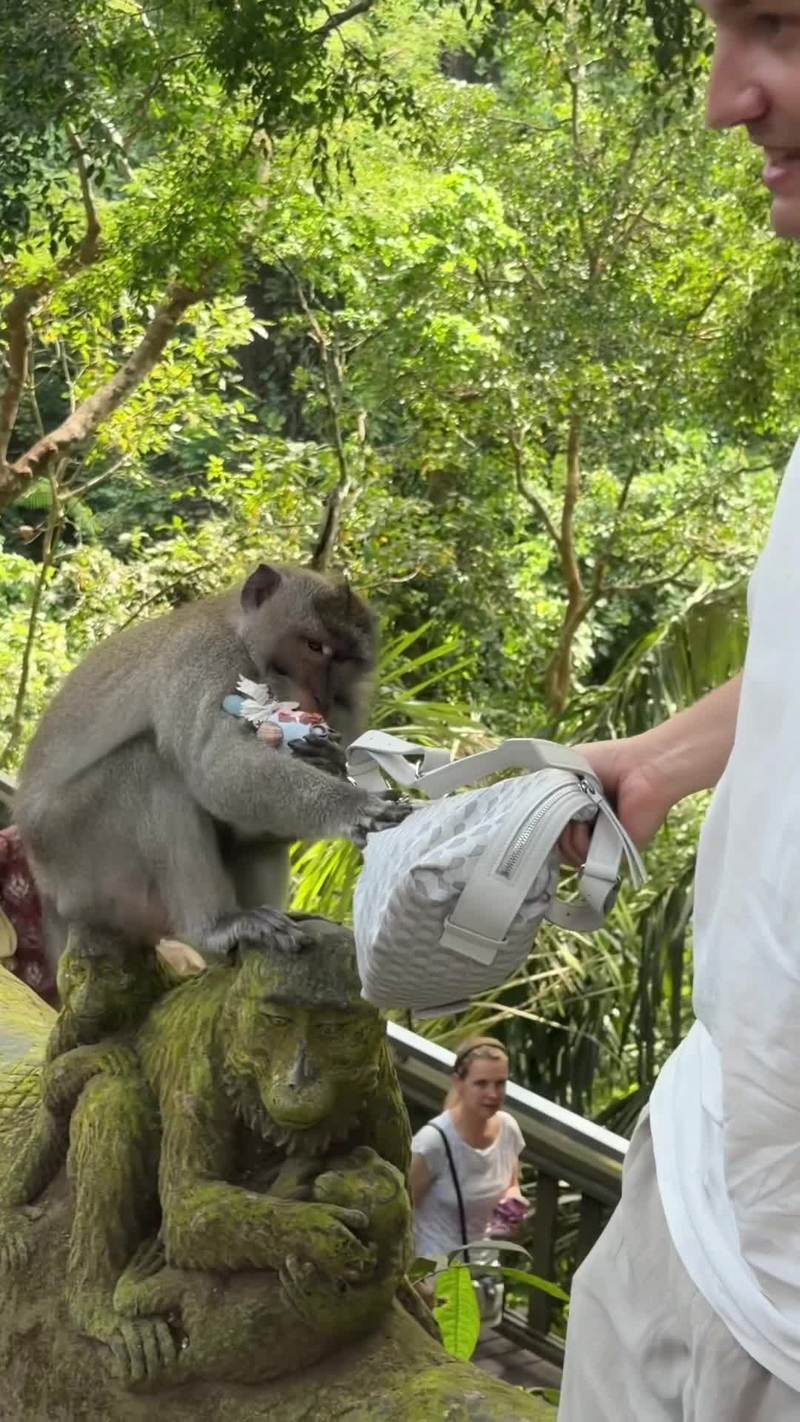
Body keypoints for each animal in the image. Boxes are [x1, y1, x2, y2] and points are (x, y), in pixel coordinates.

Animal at [14, 564, 409, 989]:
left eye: (346, 659)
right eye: (314, 646)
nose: (320, 698)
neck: (238, 631)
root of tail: (47, 891)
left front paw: (329, 759)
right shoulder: (206, 657)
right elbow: (214, 766)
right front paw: (356, 806)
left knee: (259, 838)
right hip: (76, 856)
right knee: (148, 768)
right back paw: (215, 926)